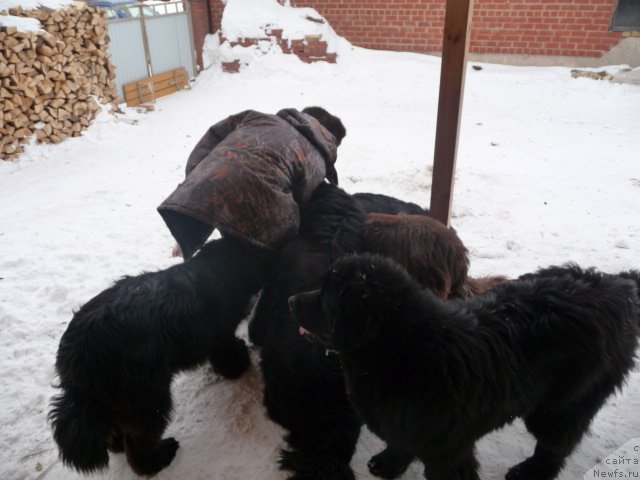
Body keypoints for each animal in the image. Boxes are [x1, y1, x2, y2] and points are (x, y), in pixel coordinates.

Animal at [48, 237, 272, 476]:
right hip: (146, 398)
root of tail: (76, 358)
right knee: (137, 443)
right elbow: (227, 356)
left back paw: (117, 445)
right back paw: (158, 460)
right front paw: (239, 364)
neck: (218, 269)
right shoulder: (219, 337)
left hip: (113, 400)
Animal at [292, 256, 640, 480]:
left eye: (326, 297)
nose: (290, 300)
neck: (401, 349)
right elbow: (400, 442)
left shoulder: (448, 447)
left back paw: (531, 471)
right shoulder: (404, 424)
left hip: (563, 403)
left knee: (556, 445)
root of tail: (619, 287)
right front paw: (388, 465)